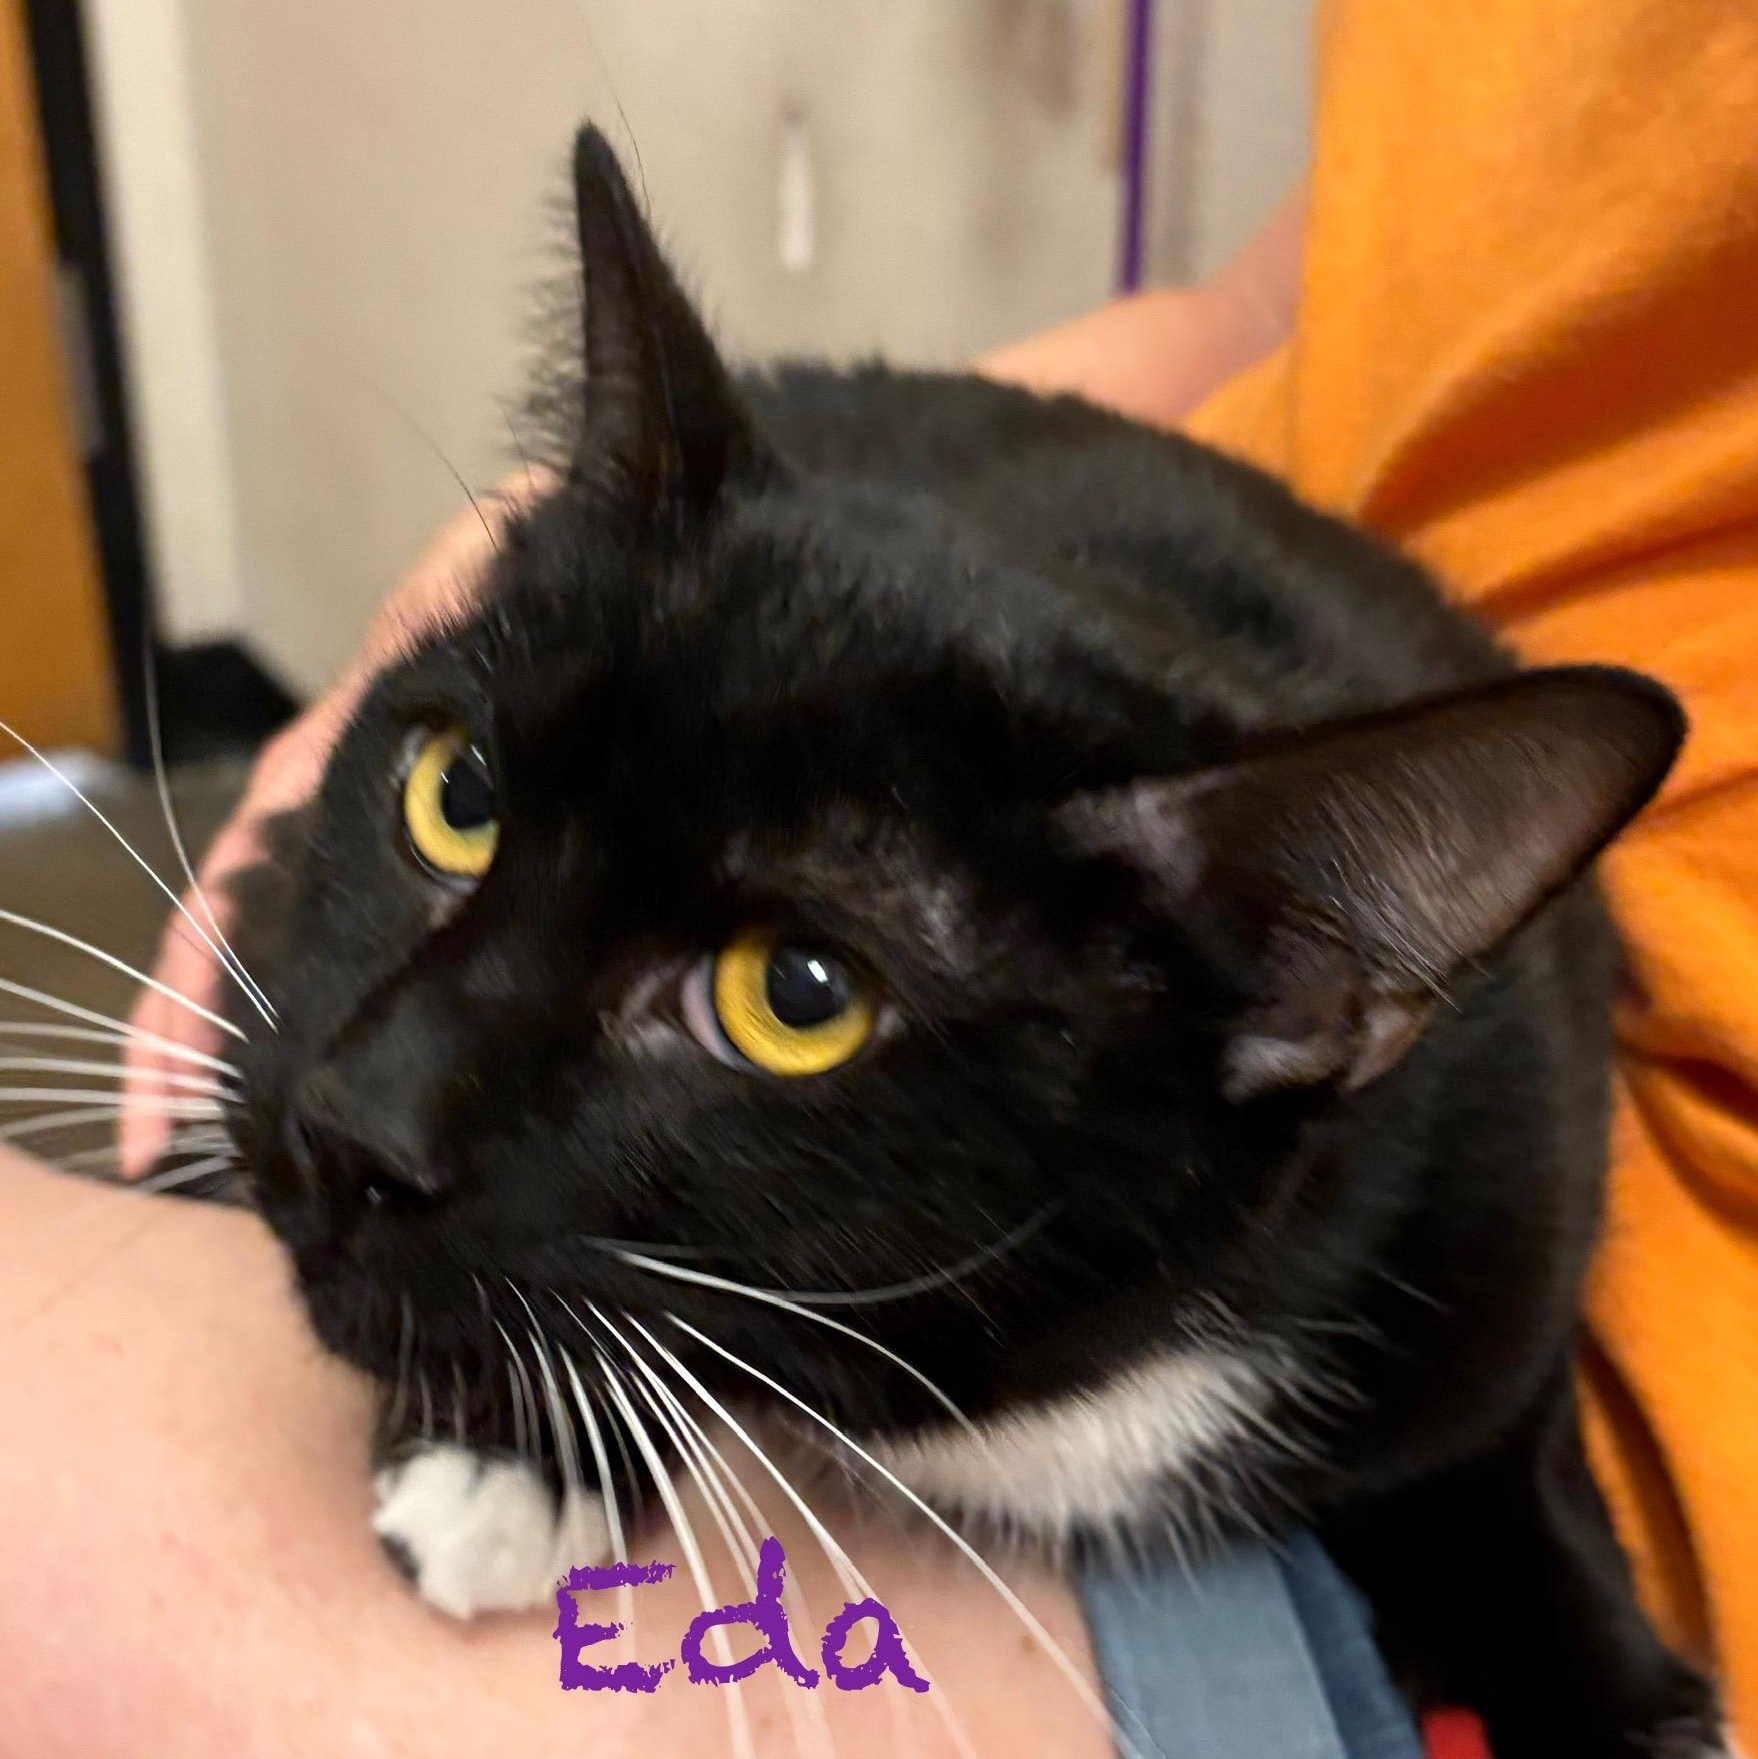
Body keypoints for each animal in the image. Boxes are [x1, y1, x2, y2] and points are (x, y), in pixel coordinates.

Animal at [210, 126, 1728, 1758]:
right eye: (457, 794)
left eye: (796, 995)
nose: (352, 1125)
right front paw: (505, 1446)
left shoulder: (1516, 1161)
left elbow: (1516, 1450)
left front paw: (1620, 1693)